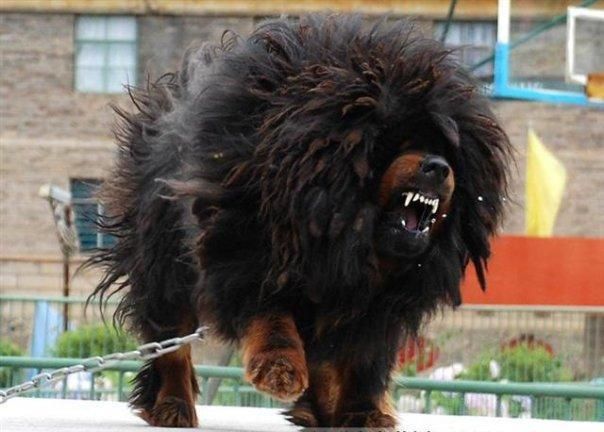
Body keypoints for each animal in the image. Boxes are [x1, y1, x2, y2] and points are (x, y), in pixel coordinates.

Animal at [89, 13, 512, 428]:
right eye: (394, 144)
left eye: (448, 152)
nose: (438, 167)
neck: (344, 238)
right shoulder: (248, 248)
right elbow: (272, 317)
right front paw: (280, 370)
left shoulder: (377, 306)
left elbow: (364, 361)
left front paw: (363, 414)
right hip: (164, 267)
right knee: (170, 340)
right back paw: (173, 405)